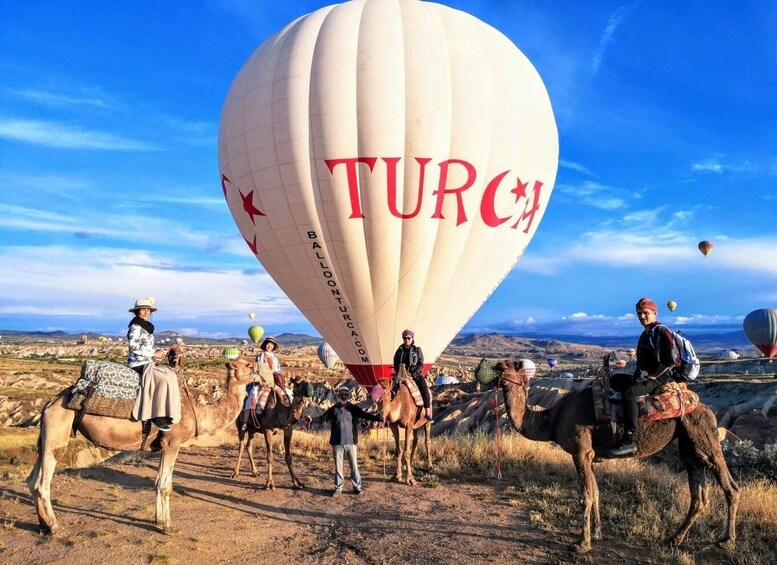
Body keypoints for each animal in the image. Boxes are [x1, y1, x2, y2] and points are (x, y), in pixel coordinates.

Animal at [26, 356, 255, 532]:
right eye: (249, 365)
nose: (259, 372)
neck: (197, 410)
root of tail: (49, 403)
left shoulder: (163, 446)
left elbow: (159, 482)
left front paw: (158, 520)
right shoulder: (172, 443)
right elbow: (165, 485)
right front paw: (167, 526)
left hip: (46, 436)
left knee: (31, 481)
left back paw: (43, 525)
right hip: (58, 428)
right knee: (43, 483)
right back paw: (54, 526)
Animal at [494, 360, 736, 552]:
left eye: (510, 365)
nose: (495, 367)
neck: (552, 418)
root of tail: (704, 406)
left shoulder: (580, 451)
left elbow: (585, 496)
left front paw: (581, 544)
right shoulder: (590, 456)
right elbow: (596, 493)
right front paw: (597, 534)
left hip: (704, 435)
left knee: (729, 485)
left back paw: (727, 541)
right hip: (689, 447)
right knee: (698, 495)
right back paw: (674, 539)